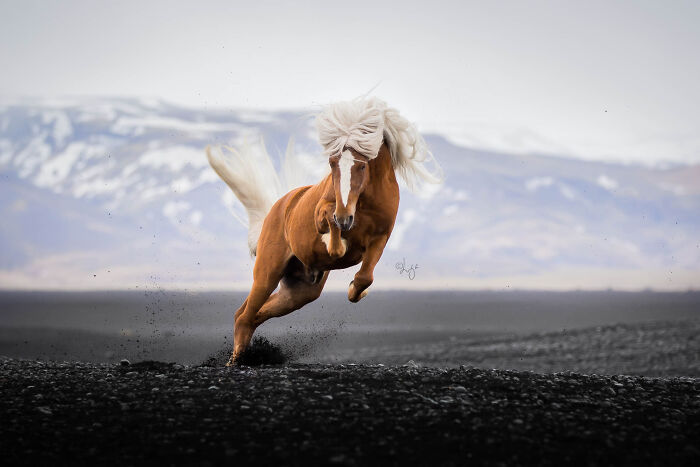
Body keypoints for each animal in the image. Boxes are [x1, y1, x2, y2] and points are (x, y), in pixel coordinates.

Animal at [206, 97, 442, 365]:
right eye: (332, 163)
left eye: (362, 166)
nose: (345, 216)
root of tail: (276, 208)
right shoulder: (326, 212)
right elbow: (329, 223)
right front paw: (334, 242)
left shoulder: (380, 238)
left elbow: (365, 277)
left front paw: (356, 291)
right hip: (267, 272)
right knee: (244, 316)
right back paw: (235, 363)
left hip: (300, 292)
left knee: (252, 315)